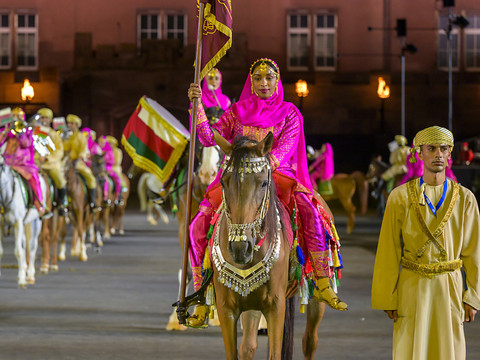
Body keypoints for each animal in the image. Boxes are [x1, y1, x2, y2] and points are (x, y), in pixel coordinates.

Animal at [0, 159, 44, 288]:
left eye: (1, 165)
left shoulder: (17, 223)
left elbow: (19, 251)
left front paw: (22, 280)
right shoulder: (1, 224)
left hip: (36, 222)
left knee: (32, 247)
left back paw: (30, 275)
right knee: (25, 245)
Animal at [211, 132, 326, 360]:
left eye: (264, 183)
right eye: (223, 183)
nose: (240, 248)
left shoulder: (275, 306)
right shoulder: (226, 307)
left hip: (316, 297)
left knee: (310, 341)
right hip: (251, 304)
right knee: (248, 346)